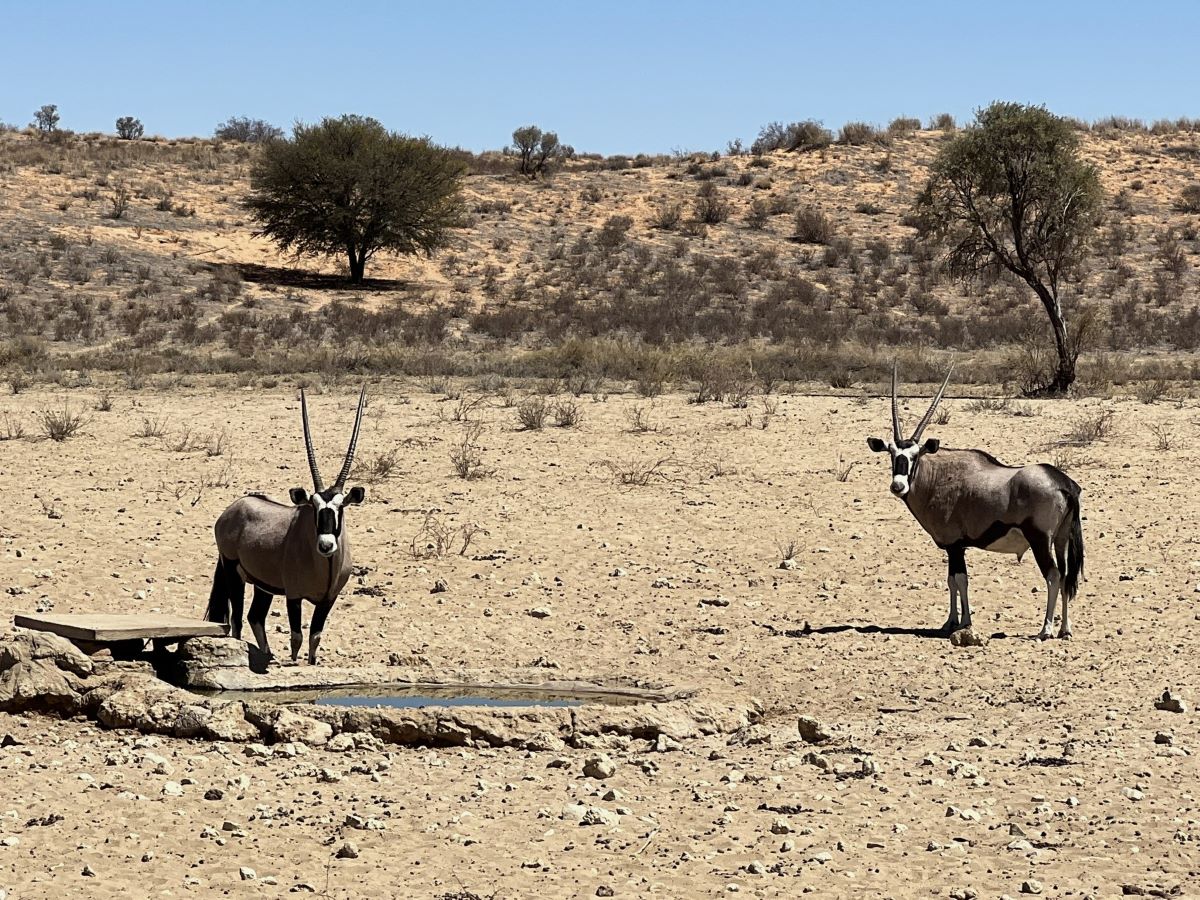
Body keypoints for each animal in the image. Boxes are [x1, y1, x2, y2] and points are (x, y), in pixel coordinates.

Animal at [205, 388, 364, 662]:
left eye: (340, 507)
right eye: (313, 507)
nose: (326, 545)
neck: (325, 565)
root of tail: (233, 510)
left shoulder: (328, 600)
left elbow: (314, 637)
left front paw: (311, 663)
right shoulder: (294, 596)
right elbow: (297, 637)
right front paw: (294, 663)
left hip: (263, 586)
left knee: (255, 616)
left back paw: (267, 655)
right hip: (233, 572)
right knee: (237, 620)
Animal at [868, 367, 1084, 643]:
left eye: (915, 456)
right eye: (892, 454)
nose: (898, 486)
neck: (939, 477)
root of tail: (1064, 483)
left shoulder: (954, 545)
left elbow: (960, 580)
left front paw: (963, 623)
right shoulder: (955, 547)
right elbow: (952, 581)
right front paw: (951, 622)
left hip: (1040, 540)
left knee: (1054, 575)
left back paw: (1045, 630)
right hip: (1061, 539)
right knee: (1067, 576)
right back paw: (1065, 629)